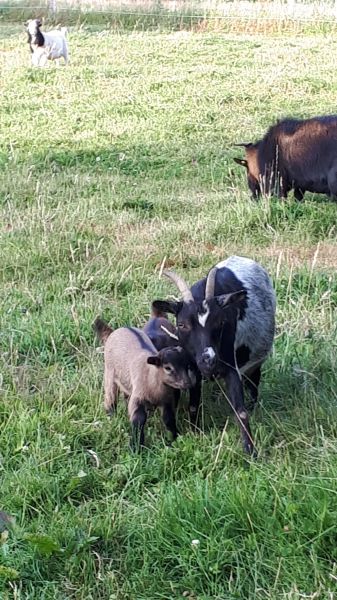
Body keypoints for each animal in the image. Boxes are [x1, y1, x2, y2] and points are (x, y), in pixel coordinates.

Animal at [93, 318, 196, 450]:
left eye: (187, 366)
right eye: (168, 368)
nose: (187, 383)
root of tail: (116, 330)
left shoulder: (167, 401)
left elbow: (169, 418)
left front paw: (174, 437)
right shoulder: (138, 397)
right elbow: (139, 420)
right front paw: (136, 447)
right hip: (109, 372)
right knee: (110, 397)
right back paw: (111, 417)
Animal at [152, 254, 276, 454]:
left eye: (220, 322)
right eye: (182, 324)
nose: (208, 359)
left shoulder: (231, 367)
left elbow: (240, 410)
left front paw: (251, 451)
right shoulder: (193, 369)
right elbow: (193, 405)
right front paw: (195, 432)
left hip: (256, 359)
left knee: (253, 382)